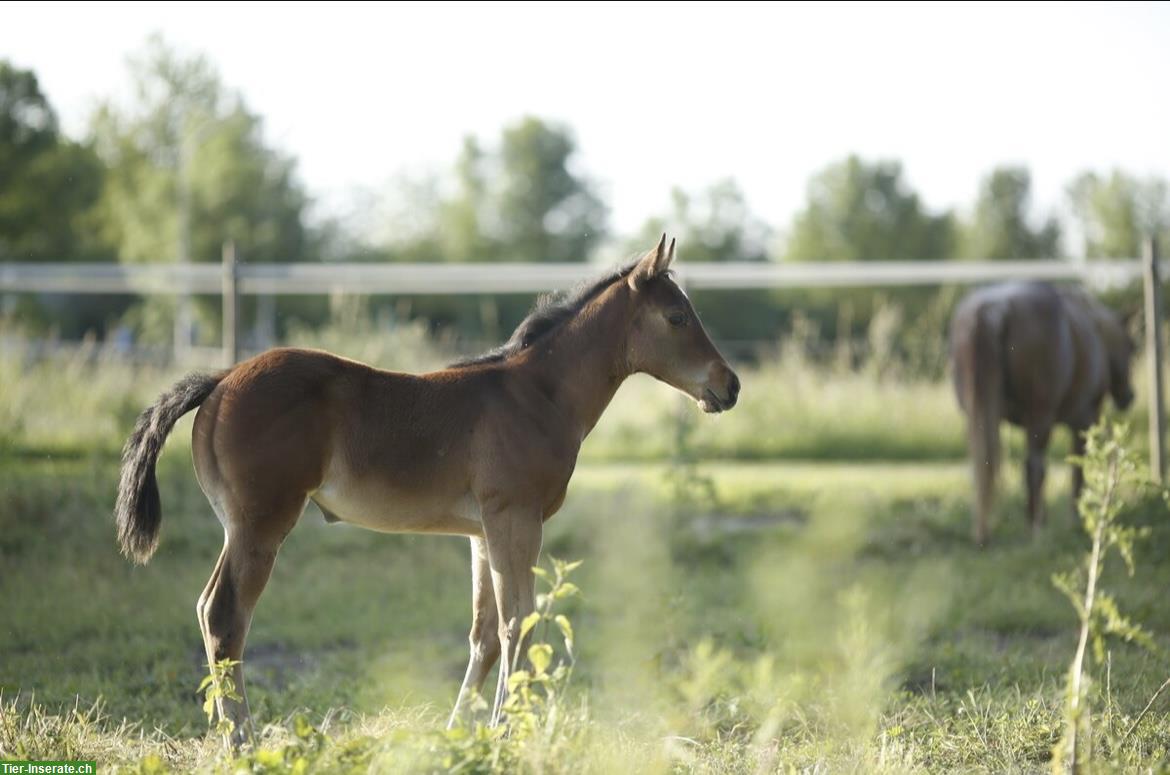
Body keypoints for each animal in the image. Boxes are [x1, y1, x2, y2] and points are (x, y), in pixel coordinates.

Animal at [116, 236, 739, 749]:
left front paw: (465, 730)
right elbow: (518, 623)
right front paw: (509, 731)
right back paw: (241, 743)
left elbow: (485, 634)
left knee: (210, 612)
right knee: (224, 616)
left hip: (244, 526)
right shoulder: (516, 518)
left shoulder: (483, 532)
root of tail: (220, 379)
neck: (536, 394)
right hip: (260, 524)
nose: (729, 385)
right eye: (678, 316)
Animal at [950, 280, 1132, 545]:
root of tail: (995, 308)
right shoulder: (1084, 420)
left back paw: (986, 531)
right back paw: (1036, 527)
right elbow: (1078, 468)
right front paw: (1075, 519)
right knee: (1035, 468)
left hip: (977, 415)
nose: (1129, 396)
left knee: (982, 466)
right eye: (1132, 347)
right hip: (1041, 416)